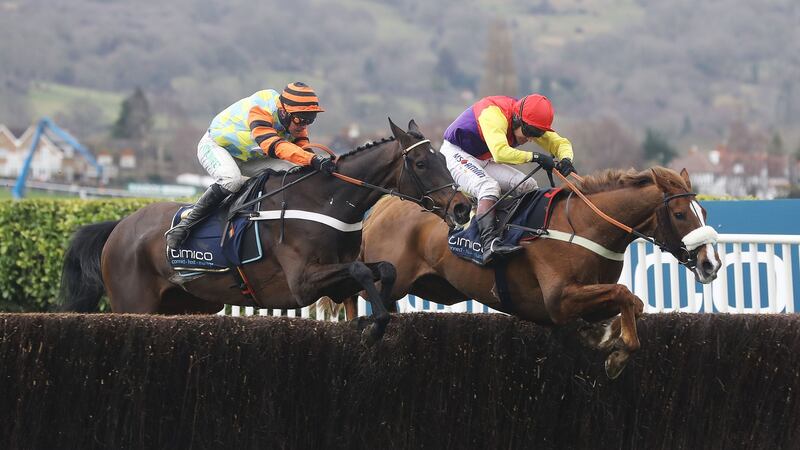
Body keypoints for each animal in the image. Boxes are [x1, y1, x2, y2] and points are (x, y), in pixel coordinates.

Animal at [62, 119, 476, 342]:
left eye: (443, 159)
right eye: (421, 163)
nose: (461, 206)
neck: (326, 200)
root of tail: (119, 226)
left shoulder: (337, 276)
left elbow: (382, 270)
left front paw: (372, 318)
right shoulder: (302, 282)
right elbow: (361, 271)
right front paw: (373, 325)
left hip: (185, 305)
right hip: (134, 304)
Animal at [342, 166, 720, 376]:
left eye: (703, 211)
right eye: (681, 215)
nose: (710, 263)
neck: (587, 225)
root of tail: (384, 205)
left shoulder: (588, 300)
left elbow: (633, 302)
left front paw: (604, 338)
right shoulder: (559, 301)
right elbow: (626, 294)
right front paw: (618, 352)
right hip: (393, 274)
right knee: (353, 288)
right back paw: (360, 328)